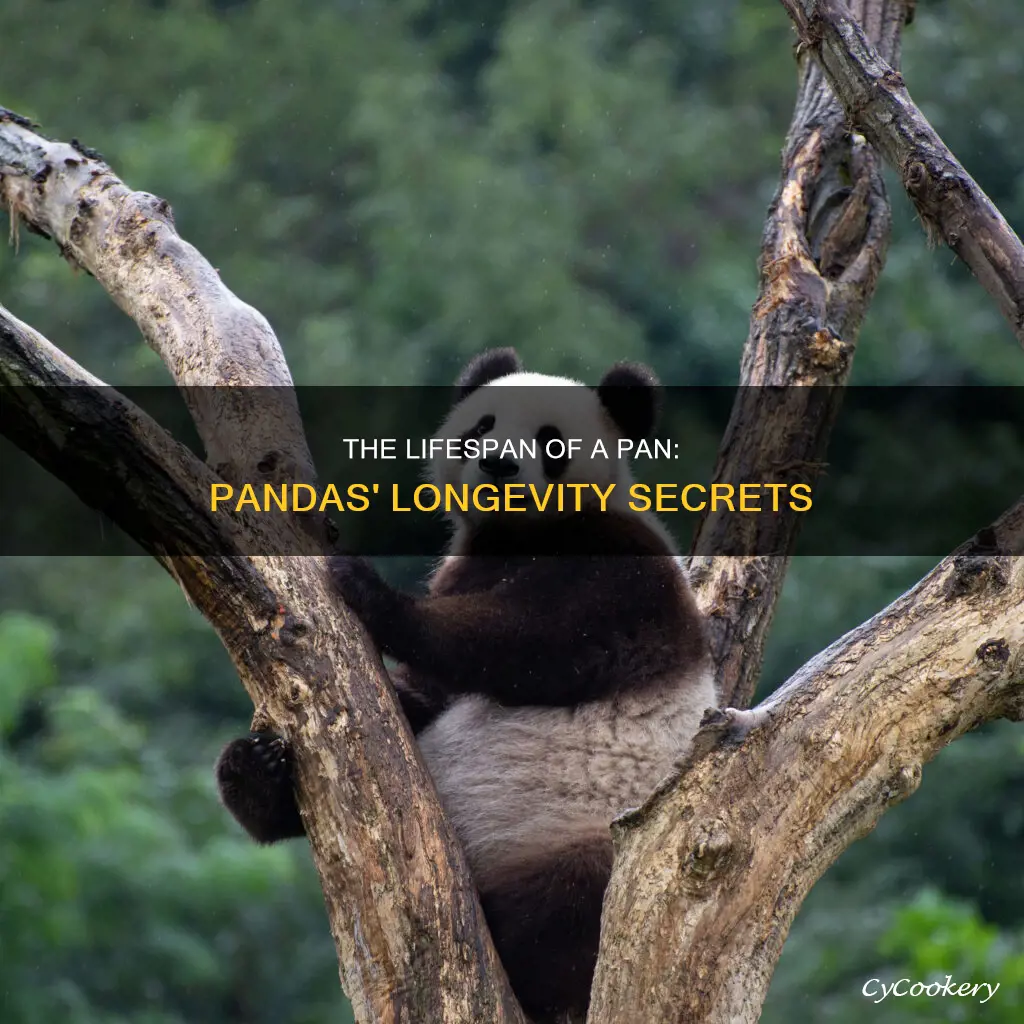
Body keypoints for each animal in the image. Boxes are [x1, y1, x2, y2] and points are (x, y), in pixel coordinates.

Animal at [216, 347, 716, 1024]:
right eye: (483, 425)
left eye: (552, 443)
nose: (498, 464)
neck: (522, 535)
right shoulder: (473, 561)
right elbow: (421, 704)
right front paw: (264, 762)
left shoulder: (627, 577)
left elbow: (535, 642)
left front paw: (371, 590)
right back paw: (252, 772)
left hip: (581, 835)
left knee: (565, 910)